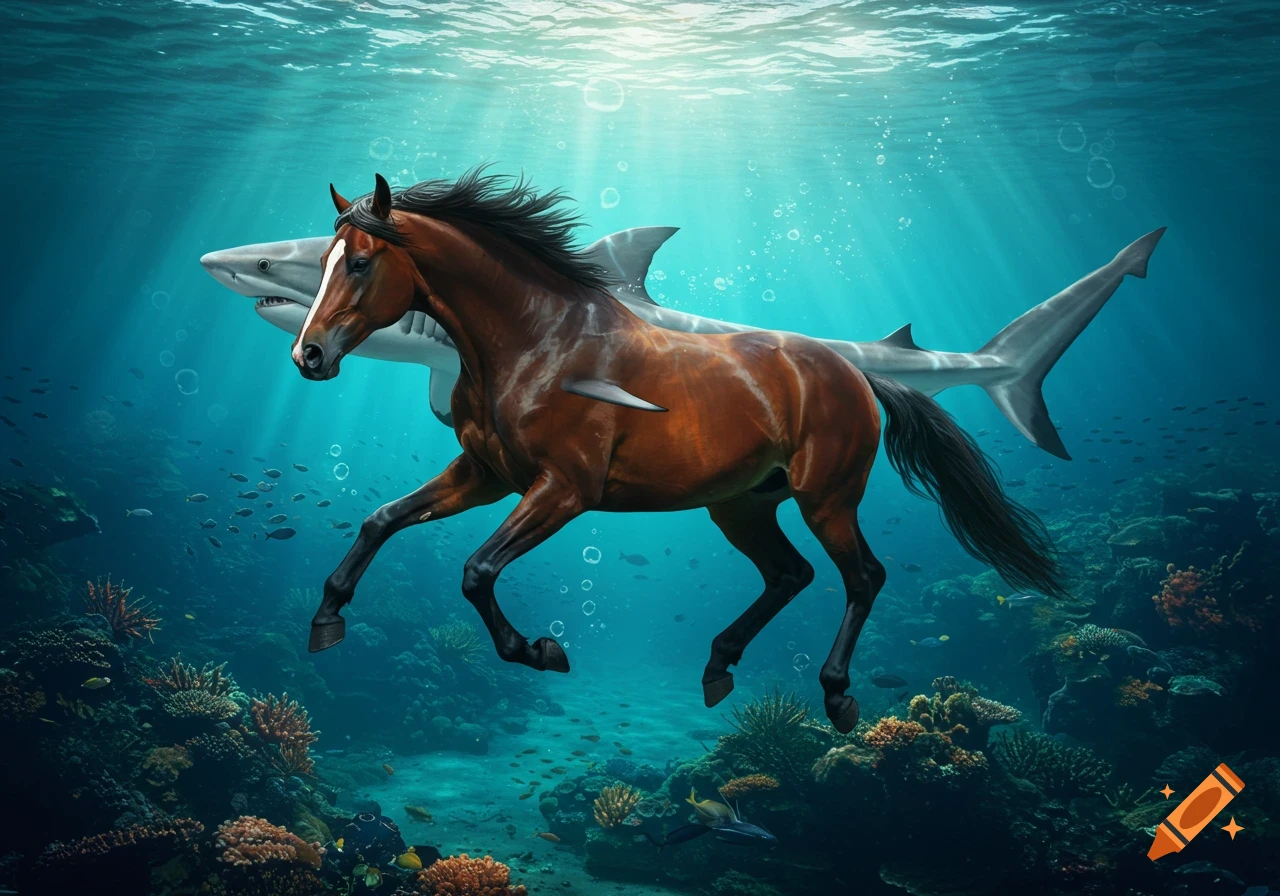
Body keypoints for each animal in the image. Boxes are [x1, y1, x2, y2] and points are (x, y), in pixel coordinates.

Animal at [292, 168, 1064, 733]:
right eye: (323, 262)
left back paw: (836, 694)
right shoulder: (484, 474)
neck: (534, 339)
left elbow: (477, 571)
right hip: (741, 506)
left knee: (862, 577)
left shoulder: (563, 489)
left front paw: (541, 651)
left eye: (358, 263)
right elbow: (382, 520)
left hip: (826, 499)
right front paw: (327, 620)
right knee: (790, 575)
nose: (309, 356)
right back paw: (718, 667)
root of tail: (854, 371)